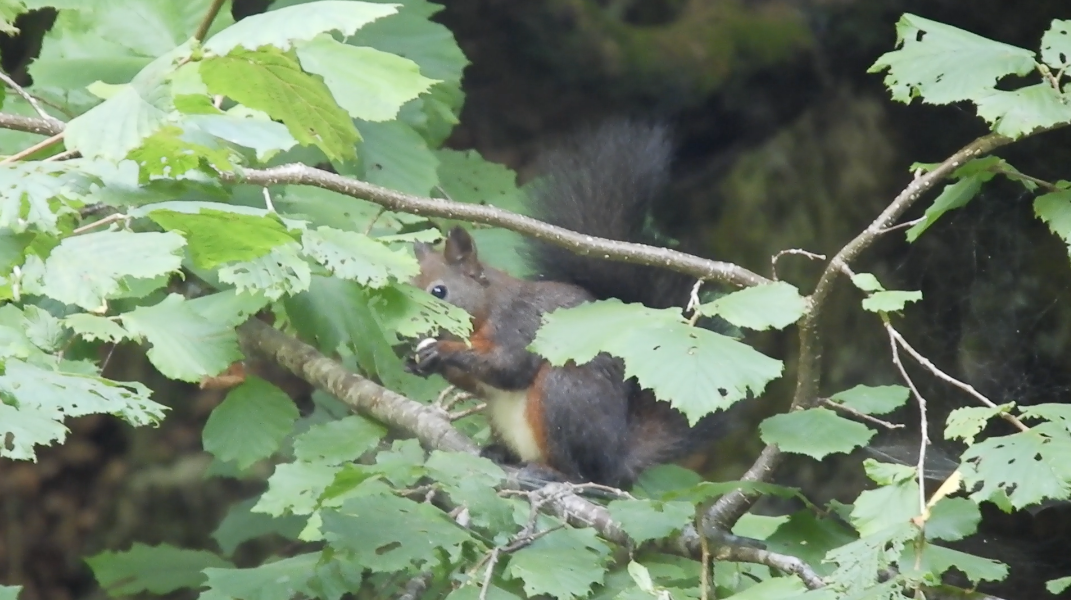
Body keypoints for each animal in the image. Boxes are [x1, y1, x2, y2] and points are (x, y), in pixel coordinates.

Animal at [405, 120, 724, 489]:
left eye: (438, 291)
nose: (408, 332)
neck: (488, 306)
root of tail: (616, 461)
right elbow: (477, 383)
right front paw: (419, 361)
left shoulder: (521, 324)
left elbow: (509, 367)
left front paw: (441, 351)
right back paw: (499, 454)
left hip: (564, 395)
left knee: (581, 472)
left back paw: (553, 474)